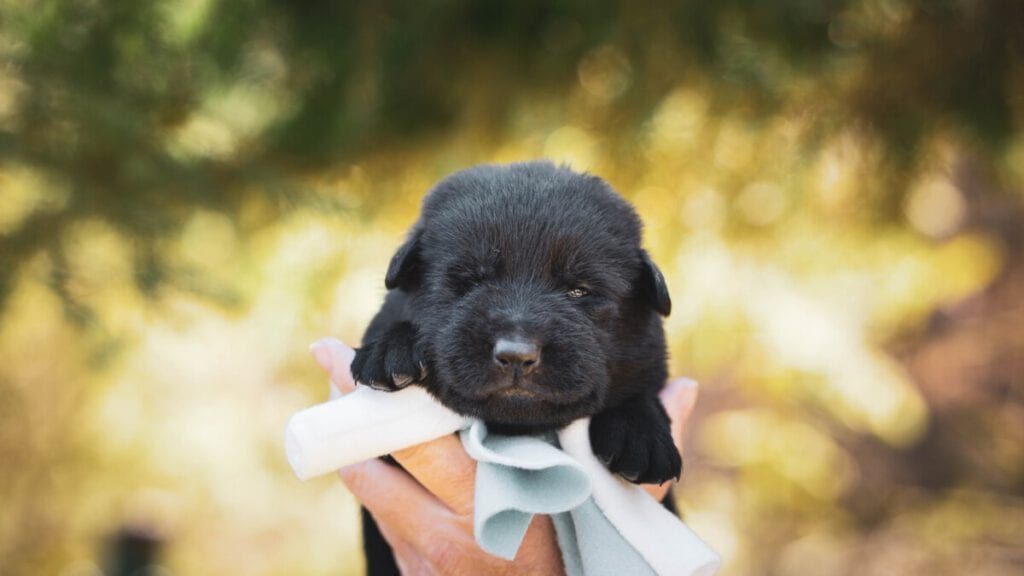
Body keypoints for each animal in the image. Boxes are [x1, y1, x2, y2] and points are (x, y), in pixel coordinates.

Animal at [352, 158, 679, 565]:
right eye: (470, 282)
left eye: (579, 290)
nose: (516, 355)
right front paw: (389, 350)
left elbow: (641, 387)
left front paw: (642, 434)